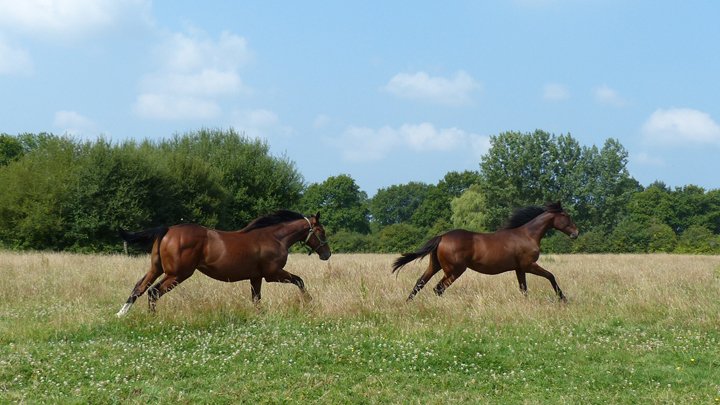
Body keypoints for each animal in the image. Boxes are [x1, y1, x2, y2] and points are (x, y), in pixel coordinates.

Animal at [116, 210, 331, 316]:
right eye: (321, 231)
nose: (327, 254)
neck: (275, 237)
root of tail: (167, 229)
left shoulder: (256, 276)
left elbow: (256, 299)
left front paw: (259, 316)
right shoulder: (273, 273)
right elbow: (299, 280)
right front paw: (310, 303)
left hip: (156, 268)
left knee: (139, 288)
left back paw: (121, 313)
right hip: (177, 274)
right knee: (153, 292)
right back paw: (153, 318)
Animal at [392, 202, 578, 301]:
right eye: (567, 216)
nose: (576, 233)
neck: (528, 235)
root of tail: (442, 237)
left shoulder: (519, 268)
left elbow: (523, 288)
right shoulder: (529, 265)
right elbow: (550, 276)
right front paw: (563, 299)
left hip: (435, 266)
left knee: (420, 282)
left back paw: (408, 303)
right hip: (454, 271)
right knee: (438, 288)